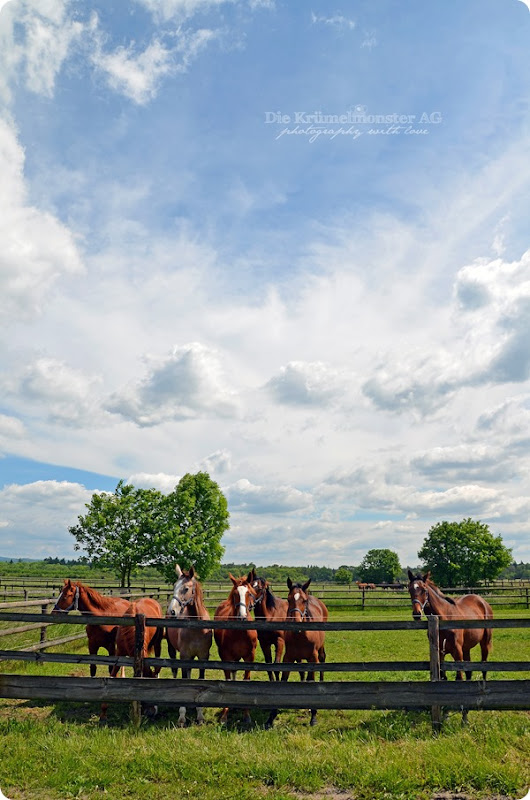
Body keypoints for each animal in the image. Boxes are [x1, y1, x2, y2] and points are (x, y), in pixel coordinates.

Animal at [167, 564, 212, 728]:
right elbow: (183, 679)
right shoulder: (184, 655)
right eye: (174, 586)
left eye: (186, 588)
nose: (172, 611)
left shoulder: (203, 657)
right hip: (173, 650)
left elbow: (199, 679)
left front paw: (200, 715)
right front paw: (182, 716)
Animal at [212, 568, 258, 724]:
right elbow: (227, 681)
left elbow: (246, 679)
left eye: (249, 593)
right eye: (235, 594)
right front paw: (224, 715)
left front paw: (246, 714)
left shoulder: (250, 657)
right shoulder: (226, 656)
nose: (242, 617)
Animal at [266, 580, 328, 728]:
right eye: (288, 599)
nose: (296, 624)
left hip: (320, 650)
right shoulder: (287, 658)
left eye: (304, 601)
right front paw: (271, 717)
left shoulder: (313, 659)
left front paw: (313, 716)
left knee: (323, 660)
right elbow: (283, 681)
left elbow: (312, 680)